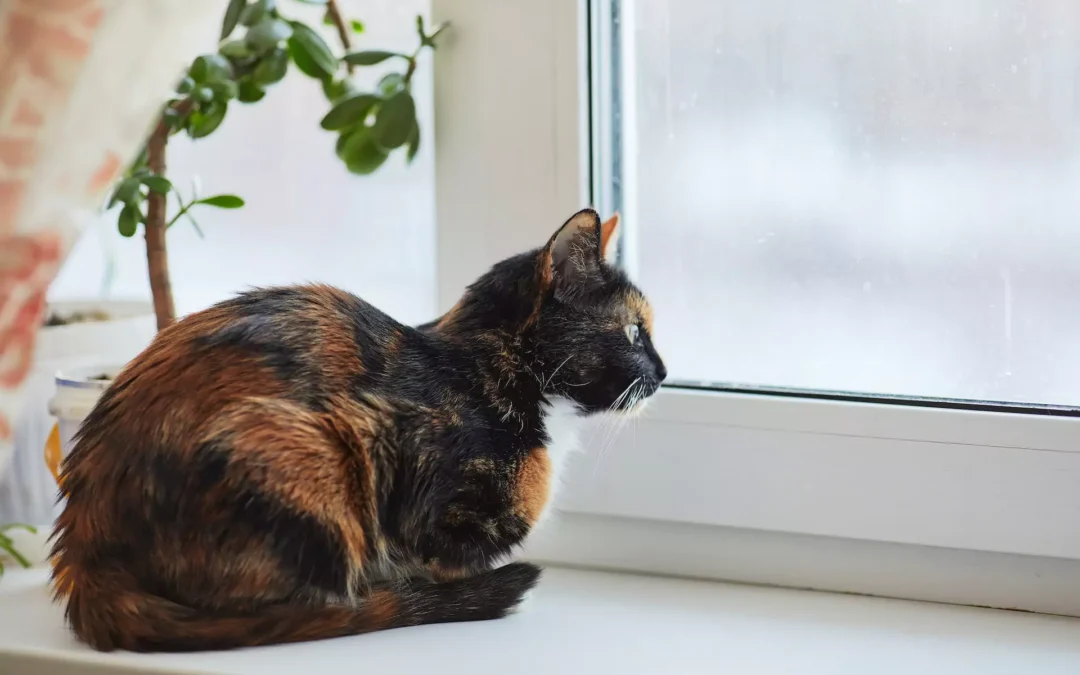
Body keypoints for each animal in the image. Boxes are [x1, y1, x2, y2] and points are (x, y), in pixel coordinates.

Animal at [50, 208, 665, 652]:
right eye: (635, 331)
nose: (663, 373)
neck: (491, 373)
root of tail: (84, 556)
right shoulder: (429, 495)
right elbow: (440, 559)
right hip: (298, 453)